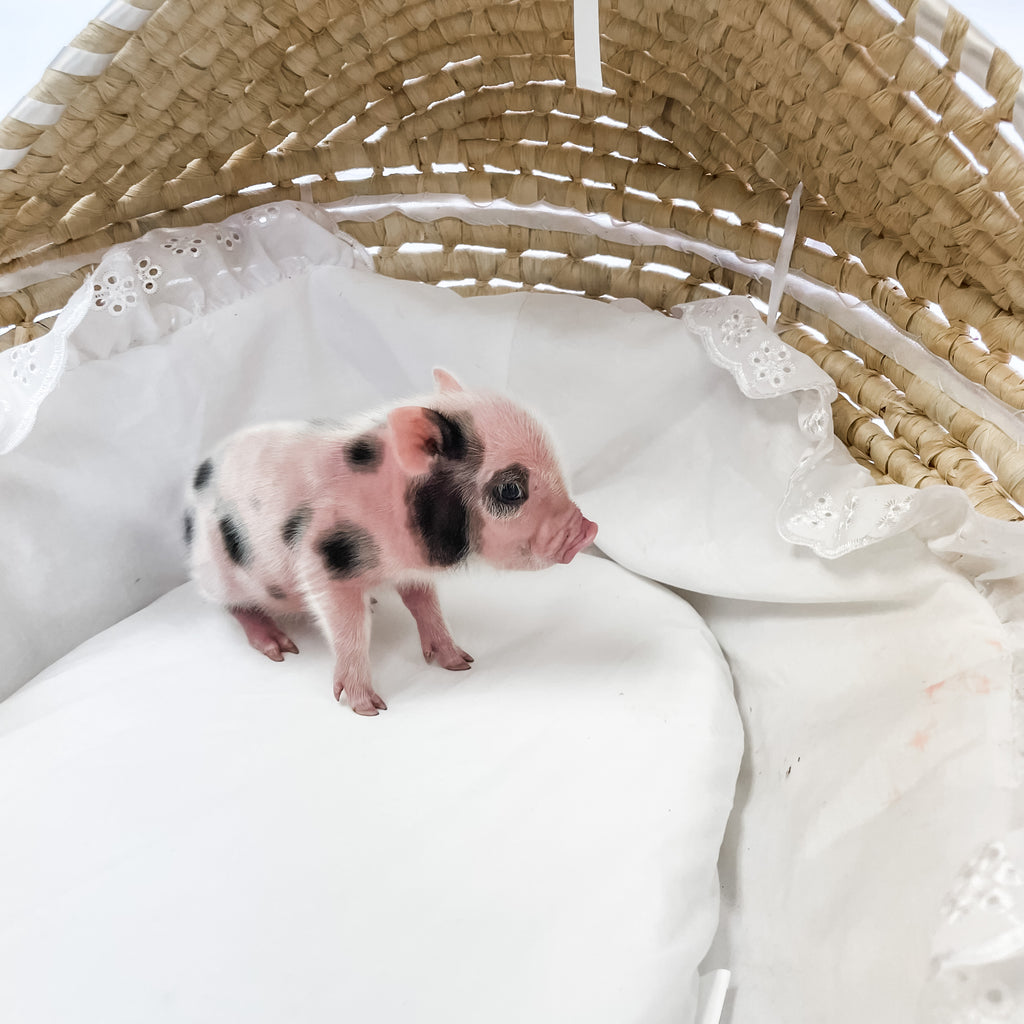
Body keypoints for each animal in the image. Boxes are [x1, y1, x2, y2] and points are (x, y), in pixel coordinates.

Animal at [184, 369, 598, 715]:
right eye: (511, 490)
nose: (589, 530)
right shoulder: (322, 562)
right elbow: (349, 632)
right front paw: (369, 708)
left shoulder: (410, 569)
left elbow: (424, 604)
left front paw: (461, 662)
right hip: (221, 575)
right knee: (235, 607)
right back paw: (280, 648)